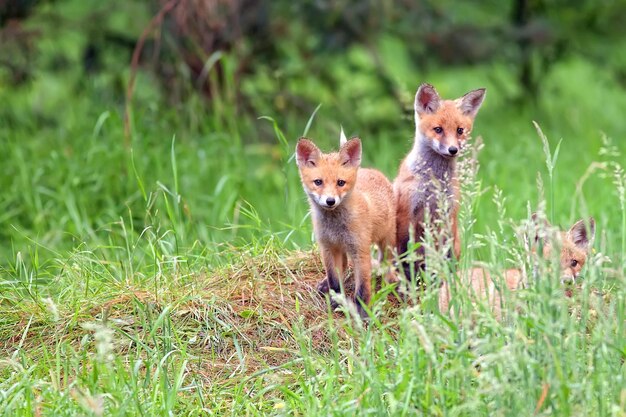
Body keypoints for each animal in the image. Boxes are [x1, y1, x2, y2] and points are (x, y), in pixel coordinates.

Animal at [294, 135, 392, 316]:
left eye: (340, 183)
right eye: (318, 182)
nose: (330, 201)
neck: (335, 228)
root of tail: (372, 170)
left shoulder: (360, 250)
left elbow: (363, 287)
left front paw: (363, 312)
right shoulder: (328, 248)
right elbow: (334, 280)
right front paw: (336, 301)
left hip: (386, 241)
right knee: (345, 265)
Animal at [392, 82, 486, 276]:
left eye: (460, 130)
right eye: (438, 130)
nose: (453, 150)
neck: (434, 182)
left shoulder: (447, 214)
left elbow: (445, 256)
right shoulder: (406, 213)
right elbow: (406, 253)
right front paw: (408, 276)